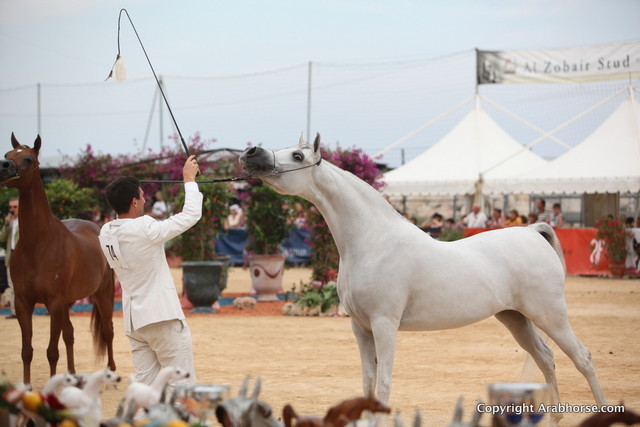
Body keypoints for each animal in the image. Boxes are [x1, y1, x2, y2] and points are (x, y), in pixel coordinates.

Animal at [0, 134, 116, 385]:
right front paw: (27, 386)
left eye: (28, 159)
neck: (37, 244)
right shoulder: (23, 303)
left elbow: (52, 352)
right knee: (70, 334)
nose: (3, 167)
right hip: (67, 302)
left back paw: (111, 372)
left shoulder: (53, 302)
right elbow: (27, 350)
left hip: (103, 294)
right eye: (7, 154)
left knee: (108, 331)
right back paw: (72, 375)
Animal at [239, 134, 607, 424]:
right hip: (515, 318)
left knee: (583, 358)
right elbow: (367, 383)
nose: (252, 152)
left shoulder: (384, 324)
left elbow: (383, 384)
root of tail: (532, 231)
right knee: (546, 359)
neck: (373, 241)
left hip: (550, 315)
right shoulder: (360, 327)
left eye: (298, 156)